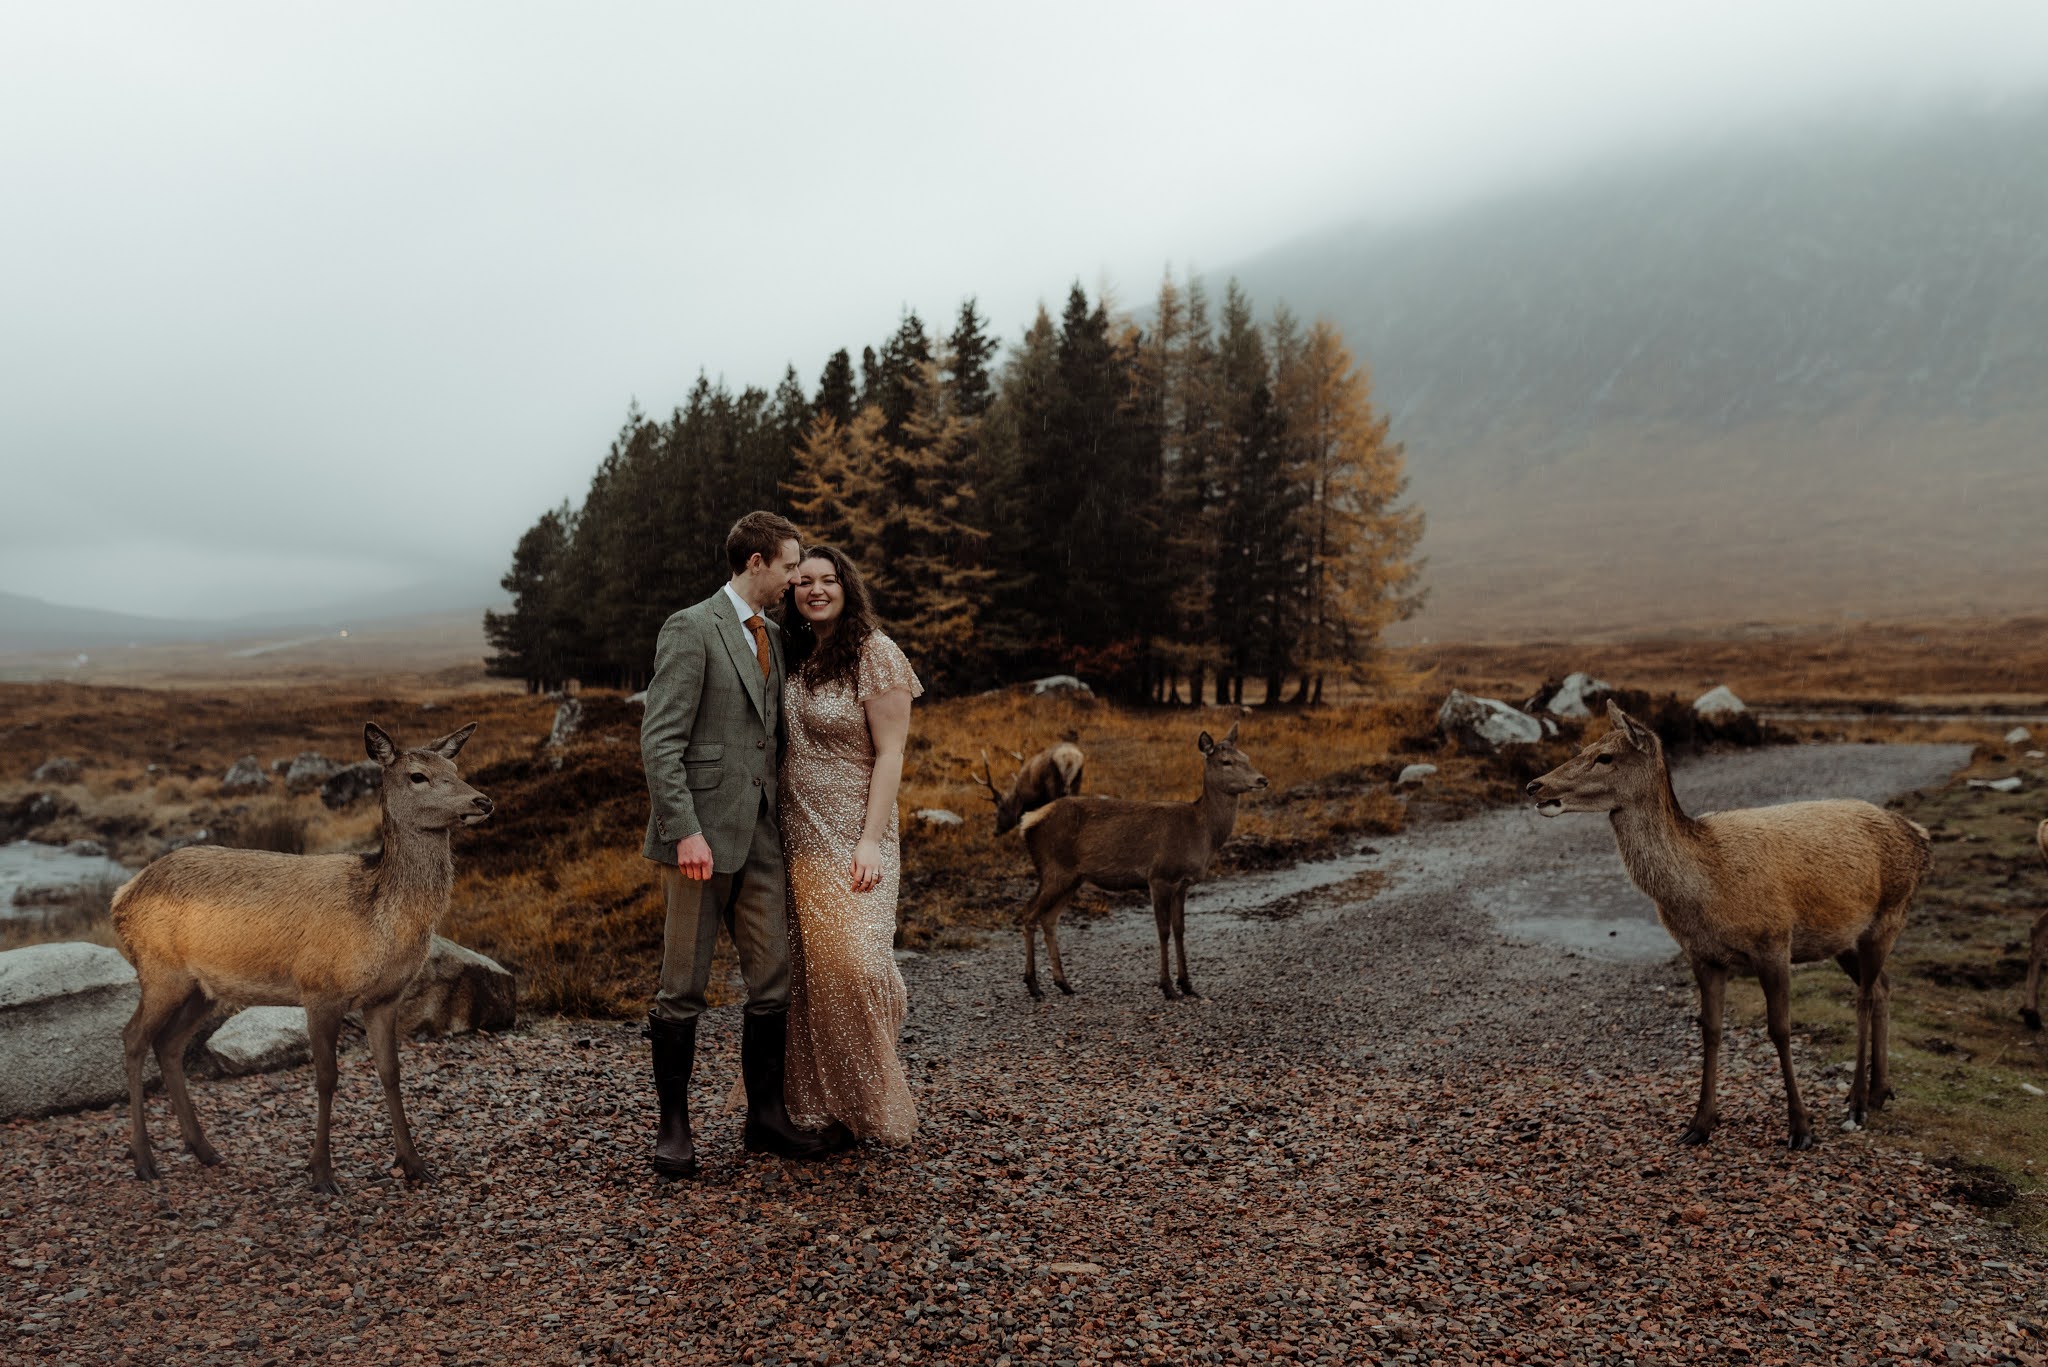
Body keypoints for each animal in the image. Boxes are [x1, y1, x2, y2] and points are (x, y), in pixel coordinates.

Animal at [110, 721, 493, 1188]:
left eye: (455, 768)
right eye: (417, 775)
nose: (482, 801)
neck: (378, 917)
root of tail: (121, 896)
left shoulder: (386, 997)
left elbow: (391, 1072)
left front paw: (414, 1164)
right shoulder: (319, 989)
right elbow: (326, 1077)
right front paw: (322, 1172)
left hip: (202, 987)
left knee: (168, 1044)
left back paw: (204, 1150)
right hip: (159, 970)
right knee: (133, 1038)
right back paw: (144, 1159)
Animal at [1011, 725, 1261, 1004]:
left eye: (1247, 757)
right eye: (1226, 761)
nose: (1262, 780)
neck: (1201, 831)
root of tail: (1028, 822)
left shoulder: (1182, 883)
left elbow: (1180, 929)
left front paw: (1187, 985)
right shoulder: (1159, 876)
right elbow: (1163, 930)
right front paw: (1168, 987)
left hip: (1072, 877)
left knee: (1049, 919)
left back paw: (1063, 983)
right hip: (1054, 869)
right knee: (1028, 914)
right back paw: (1034, 985)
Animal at [1531, 705, 1925, 1155]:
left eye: (1605, 757)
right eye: (1584, 747)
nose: (1535, 785)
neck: (1707, 885)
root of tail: (1920, 835)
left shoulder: (1774, 940)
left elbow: (1780, 1030)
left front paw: (1800, 1127)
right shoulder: (1703, 954)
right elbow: (1711, 1030)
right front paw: (1699, 1124)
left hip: (1889, 915)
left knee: (1864, 998)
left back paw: (1857, 1104)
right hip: (1844, 938)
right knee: (1884, 988)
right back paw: (1879, 1092)